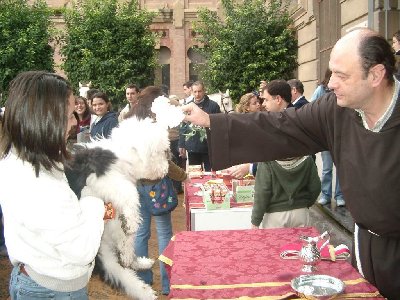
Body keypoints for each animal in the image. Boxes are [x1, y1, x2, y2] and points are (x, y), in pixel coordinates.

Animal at [65, 118, 170, 298]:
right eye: (162, 152)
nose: (166, 170)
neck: (122, 158)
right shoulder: (100, 178)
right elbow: (129, 191)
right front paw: (132, 223)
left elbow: (126, 233)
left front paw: (129, 228)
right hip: (101, 254)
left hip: (105, 251)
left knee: (123, 270)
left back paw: (141, 271)